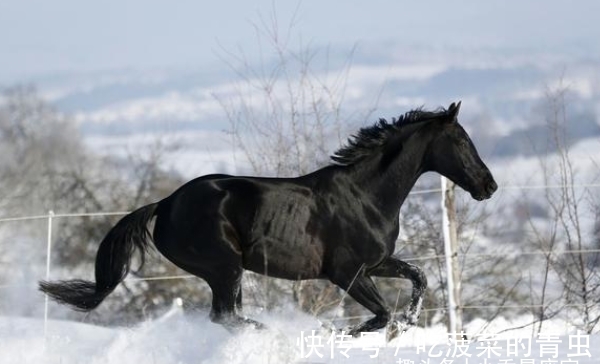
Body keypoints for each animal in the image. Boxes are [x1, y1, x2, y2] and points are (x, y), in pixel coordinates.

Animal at [38, 101, 496, 336]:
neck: (365, 195)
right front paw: (338, 332)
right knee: (225, 317)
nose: (488, 185)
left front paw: (411, 319)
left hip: (227, 272)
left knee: (226, 317)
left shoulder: (375, 263)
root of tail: (166, 203)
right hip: (224, 267)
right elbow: (381, 314)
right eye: (460, 140)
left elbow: (418, 277)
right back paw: (270, 330)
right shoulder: (346, 272)